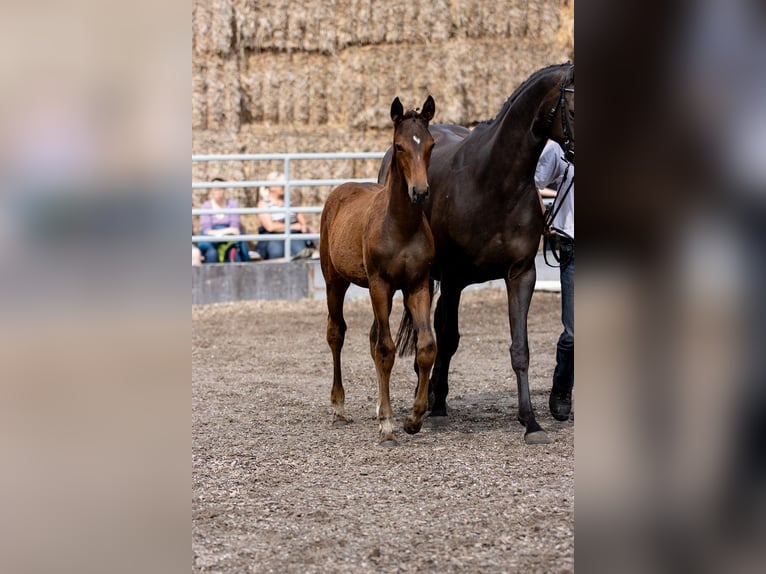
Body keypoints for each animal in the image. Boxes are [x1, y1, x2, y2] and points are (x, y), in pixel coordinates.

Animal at [320, 97, 438, 448]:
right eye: (399, 146)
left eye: (431, 144)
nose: (420, 192)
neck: (400, 226)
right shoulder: (380, 284)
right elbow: (386, 349)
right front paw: (387, 425)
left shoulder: (417, 285)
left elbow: (426, 347)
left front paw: (413, 419)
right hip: (335, 281)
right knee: (337, 333)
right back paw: (338, 407)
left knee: (373, 337)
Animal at [378, 63, 576, 444]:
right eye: (573, 109)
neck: (495, 182)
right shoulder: (454, 277)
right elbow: (447, 338)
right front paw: (435, 408)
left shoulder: (521, 274)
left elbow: (520, 349)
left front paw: (531, 422)